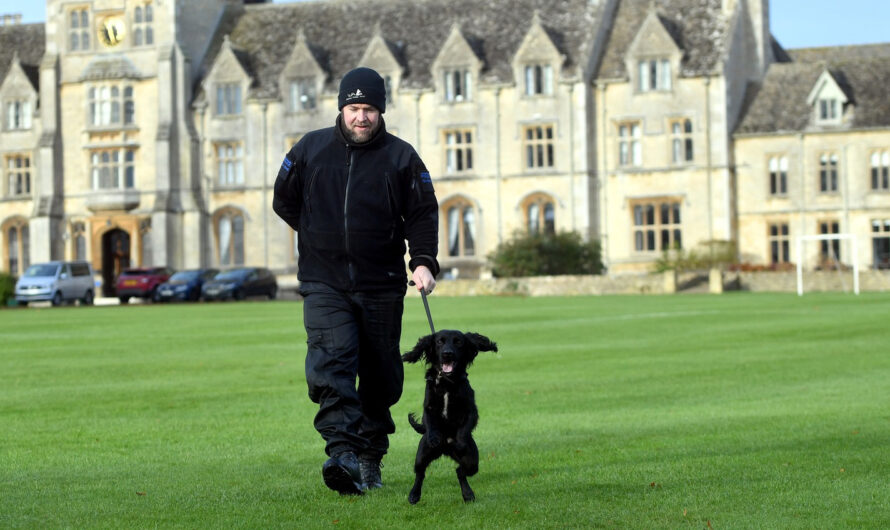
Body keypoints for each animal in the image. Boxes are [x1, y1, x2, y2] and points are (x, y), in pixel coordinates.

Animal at [400, 328, 496, 502]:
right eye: (439, 341)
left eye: (458, 342)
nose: (447, 354)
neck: (446, 382)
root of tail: (445, 449)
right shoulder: (429, 406)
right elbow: (430, 421)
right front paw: (434, 438)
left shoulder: (470, 409)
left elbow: (464, 429)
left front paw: (460, 443)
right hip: (422, 455)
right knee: (420, 473)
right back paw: (414, 495)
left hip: (472, 462)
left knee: (460, 471)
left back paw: (468, 494)